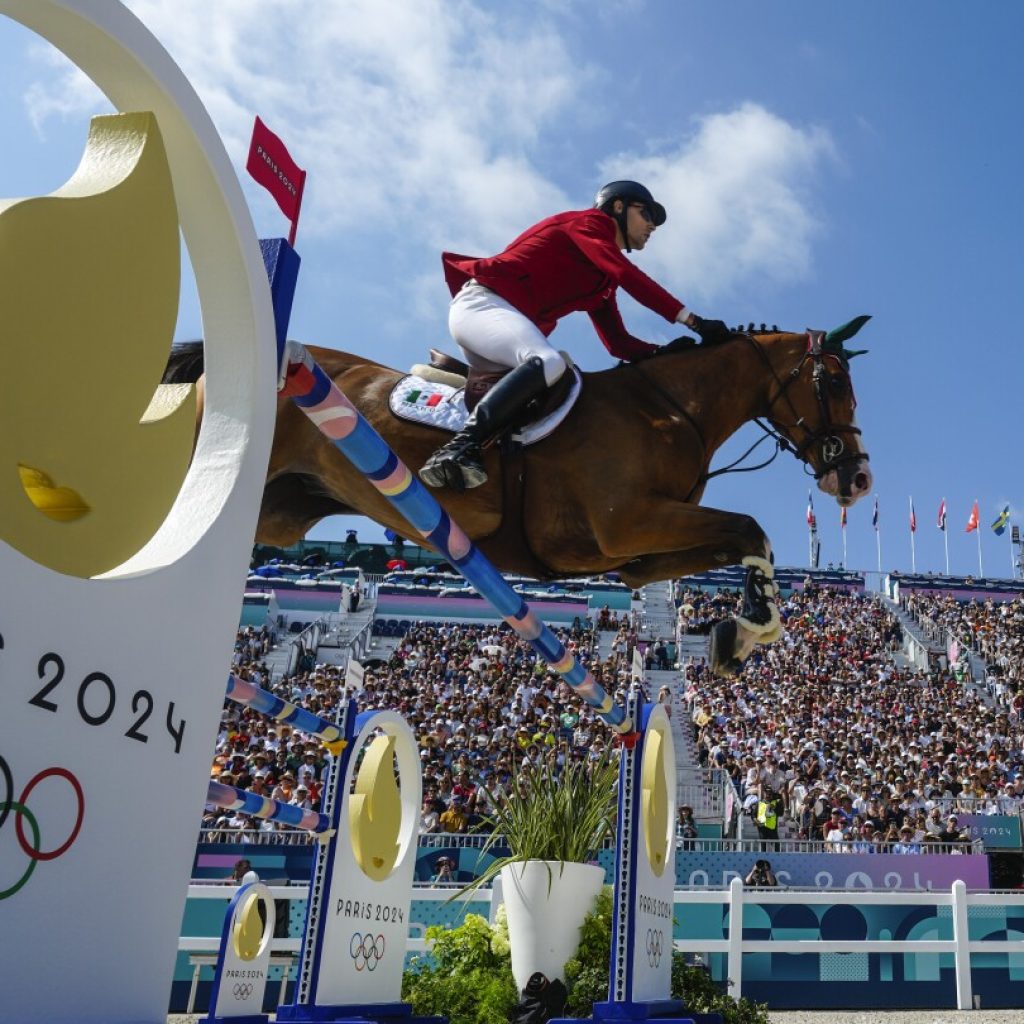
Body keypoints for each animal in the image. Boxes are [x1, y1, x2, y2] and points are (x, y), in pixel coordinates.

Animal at [165, 315, 872, 675]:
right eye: (834, 381)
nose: (858, 479)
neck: (669, 410)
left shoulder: (633, 556)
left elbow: (744, 539)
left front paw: (741, 632)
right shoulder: (629, 524)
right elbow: (751, 526)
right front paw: (751, 626)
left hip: (280, 510)